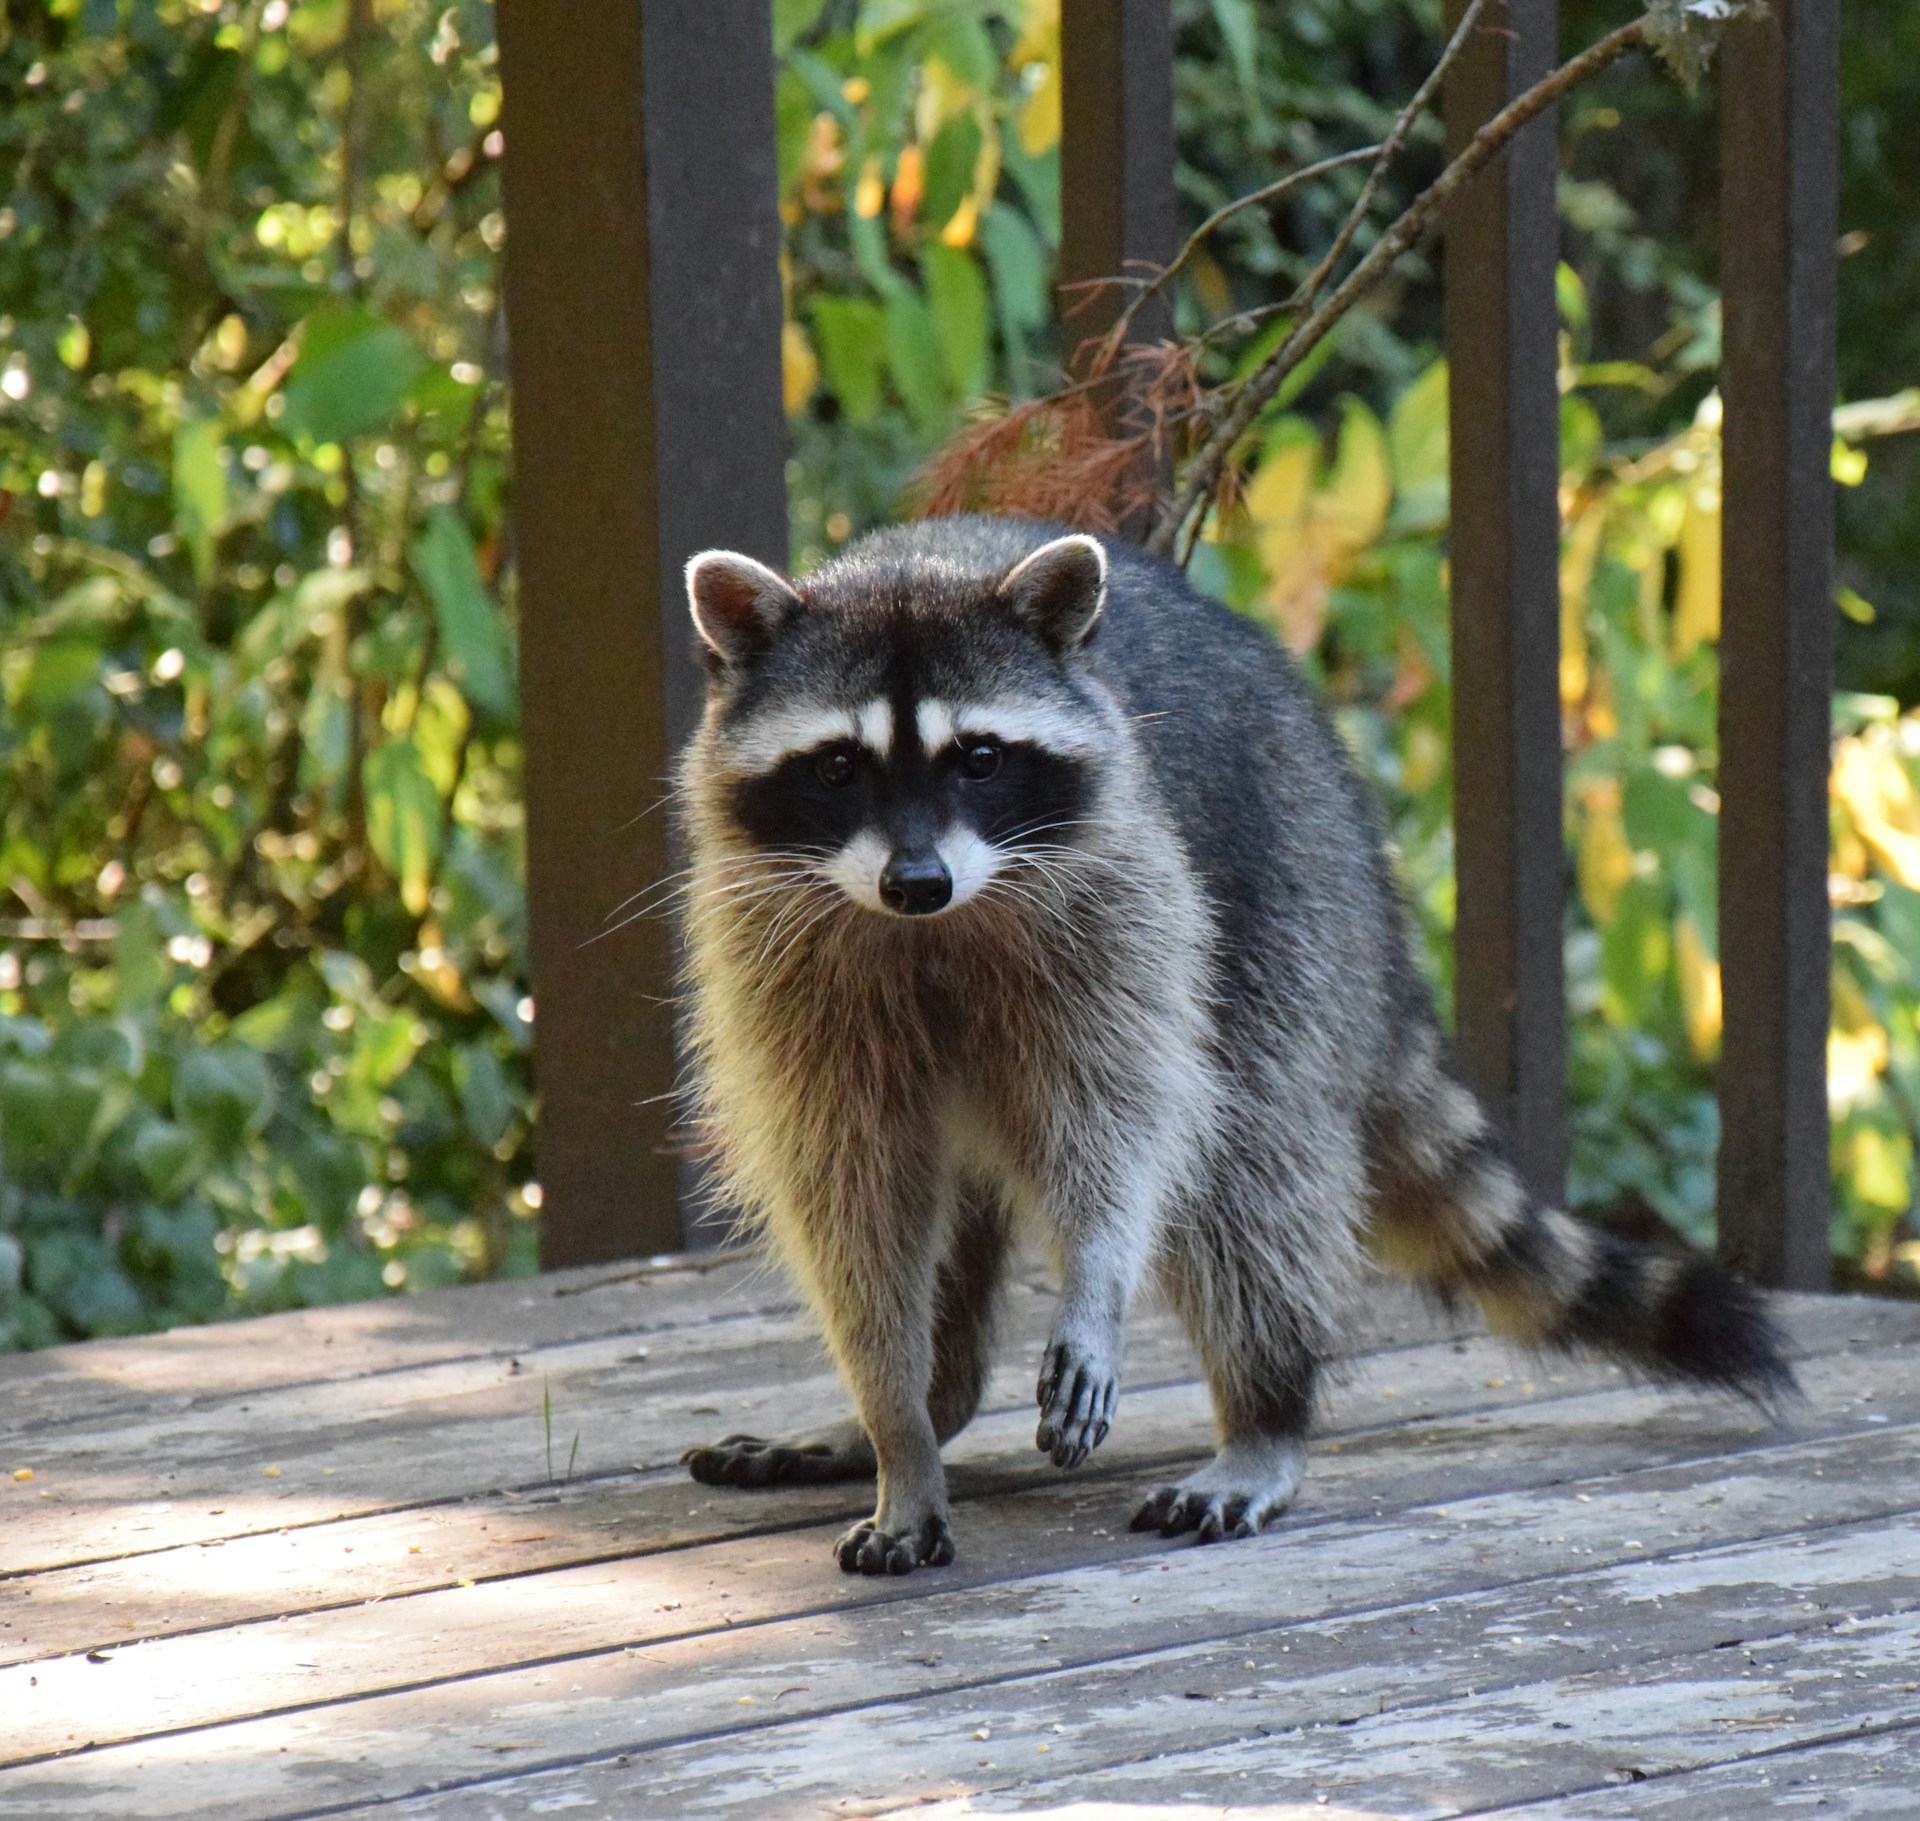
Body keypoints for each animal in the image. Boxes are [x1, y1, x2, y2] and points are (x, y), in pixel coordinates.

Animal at [674, 515, 1791, 1576]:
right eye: (838, 766)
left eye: (980, 759)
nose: (916, 882)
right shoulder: (782, 954)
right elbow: (850, 1194)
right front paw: (897, 1426)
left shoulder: (1122, 897)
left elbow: (1124, 1121)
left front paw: (1097, 1279)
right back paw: (936, 1400)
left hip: (1284, 897)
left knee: (1245, 1171)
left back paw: (1266, 1413)